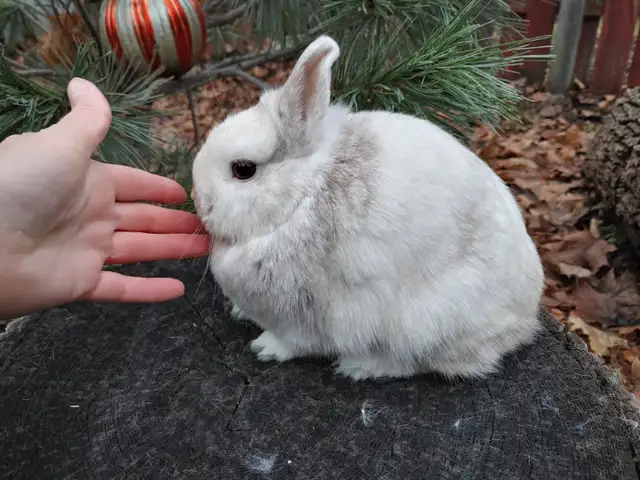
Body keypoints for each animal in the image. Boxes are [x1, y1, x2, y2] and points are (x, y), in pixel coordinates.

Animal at [191, 35, 545, 381]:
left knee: (415, 361)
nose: (198, 200)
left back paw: (360, 367)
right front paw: (240, 312)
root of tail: (523, 321)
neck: (300, 199)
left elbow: (298, 341)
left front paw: (266, 348)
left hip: (426, 323)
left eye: (244, 169)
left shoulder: (312, 313)